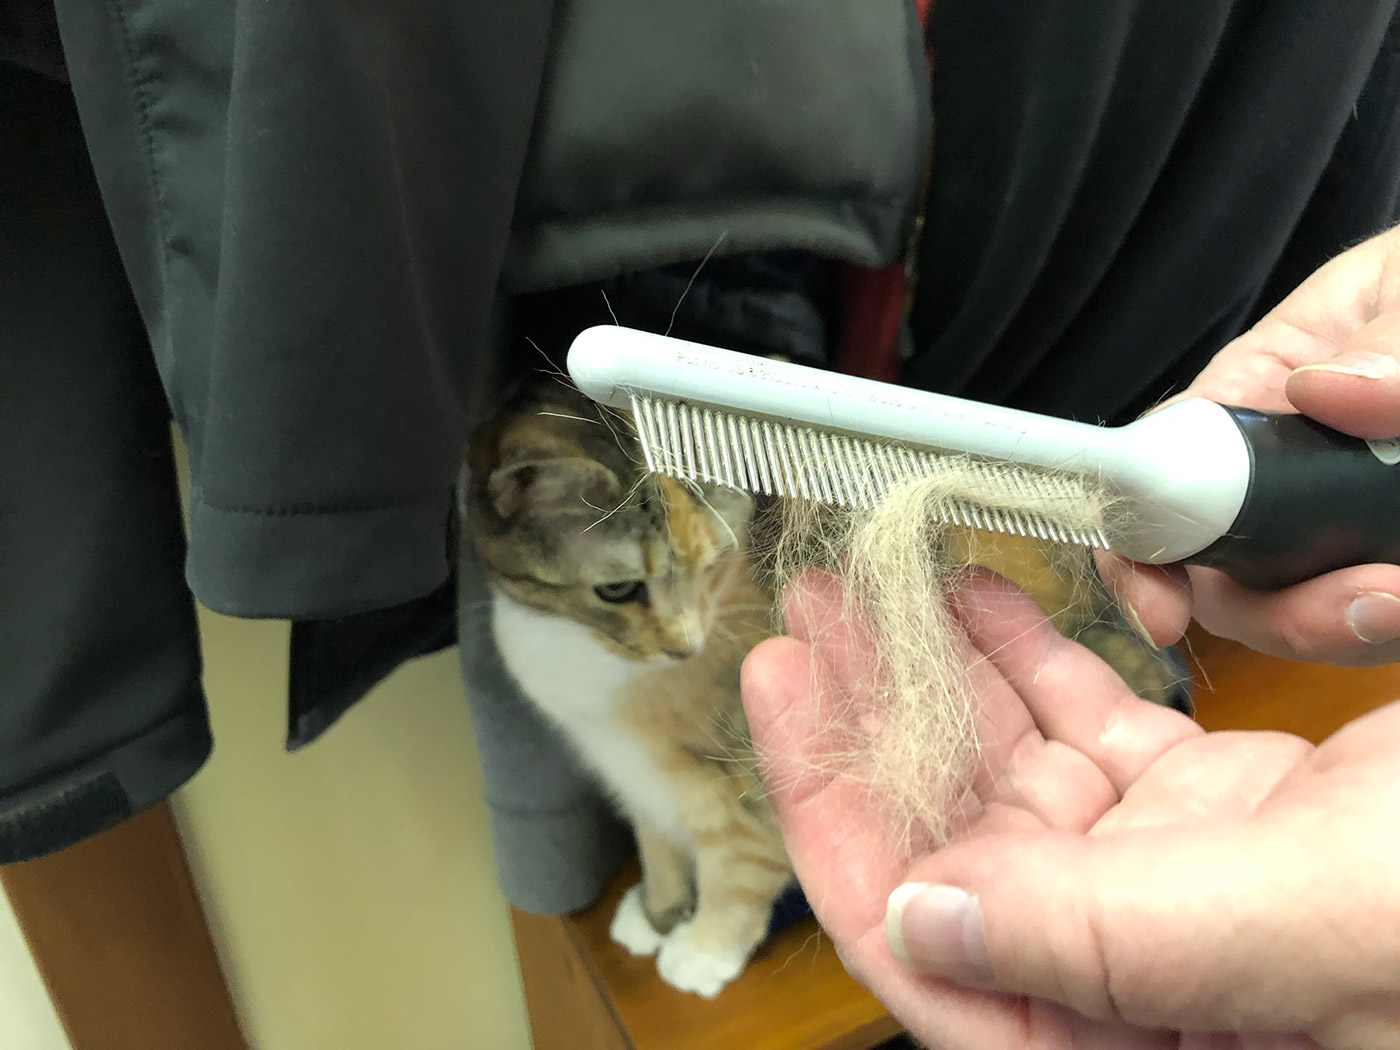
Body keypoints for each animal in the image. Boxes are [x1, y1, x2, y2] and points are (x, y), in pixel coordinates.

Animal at [459, 375, 789, 996]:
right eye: (617, 589)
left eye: (713, 565)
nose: (686, 647)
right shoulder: (630, 769)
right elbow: (655, 840)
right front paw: (660, 911)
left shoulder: (746, 771)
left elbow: (743, 861)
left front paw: (705, 949)